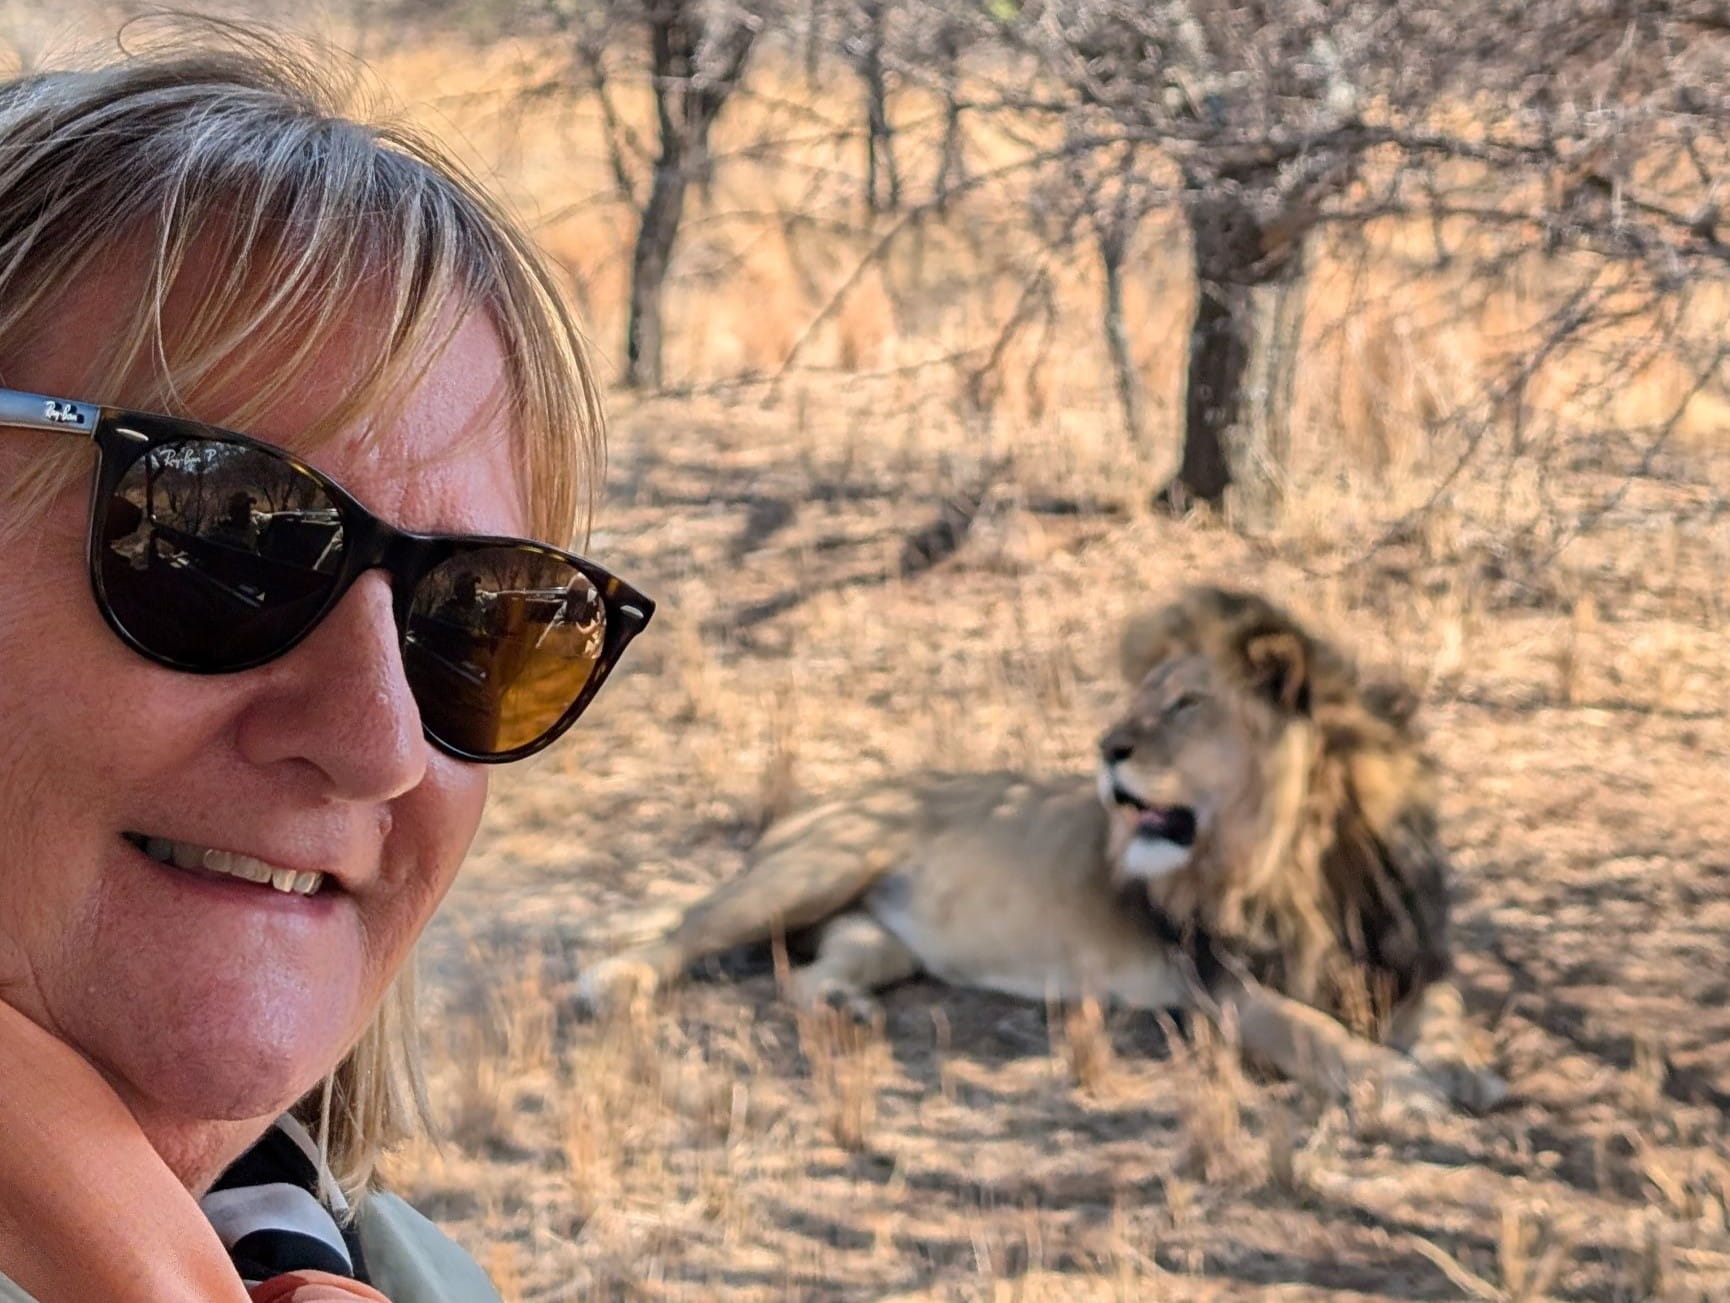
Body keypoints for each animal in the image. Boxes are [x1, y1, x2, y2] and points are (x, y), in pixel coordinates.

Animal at [575, 586, 1505, 1116]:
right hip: (816, 866)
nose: (1105, 746)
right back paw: (607, 982)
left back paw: (845, 1007)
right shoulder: (1223, 986)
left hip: (879, 932)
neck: (1296, 855)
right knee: (687, 932)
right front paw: (1408, 1088)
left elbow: (1448, 1013)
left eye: (1187, 704)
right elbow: (1322, 1035)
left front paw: (1464, 1070)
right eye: (1141, 699)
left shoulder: (1412, 954)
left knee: (807, 972)